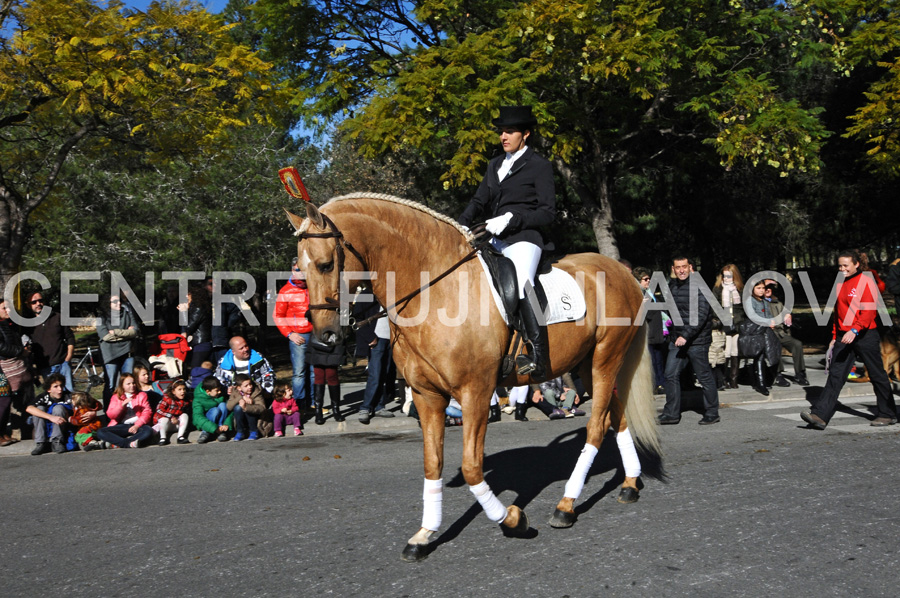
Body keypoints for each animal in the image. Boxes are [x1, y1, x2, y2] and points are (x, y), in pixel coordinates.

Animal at [288, 193, 660, 564]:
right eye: (300, 271)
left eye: (325, 264)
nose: (323, 339)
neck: (434, 294)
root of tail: (623, 273)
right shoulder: (426, 395)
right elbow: (432, 463)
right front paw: (424, 535)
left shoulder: (475, 392)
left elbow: (470, 466)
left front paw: (512, 519)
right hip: (589, 365)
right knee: (617, 417)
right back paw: (629, 484)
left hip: (605, 359)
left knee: (597, 426)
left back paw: (566, 505)